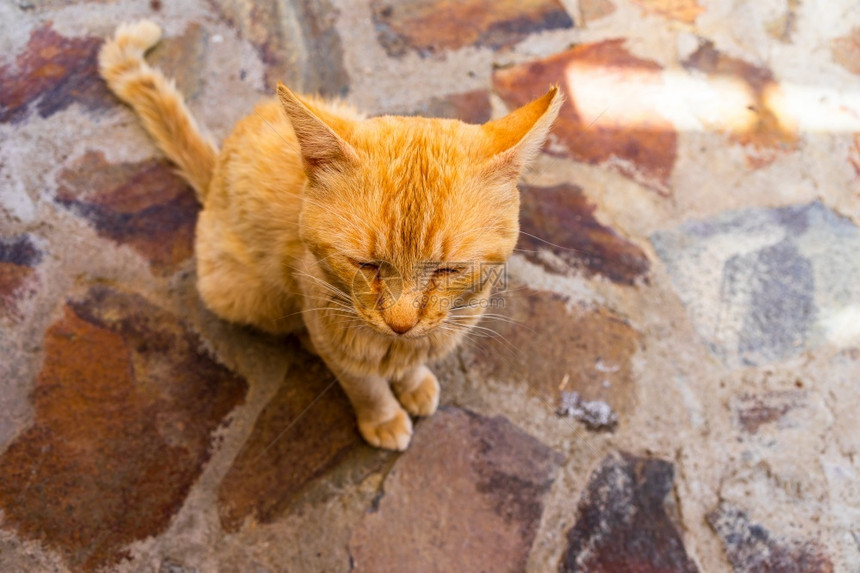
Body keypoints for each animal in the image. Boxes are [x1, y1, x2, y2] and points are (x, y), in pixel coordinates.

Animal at [99, 21, 564, 452]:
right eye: (366, 265)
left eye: (448, 270)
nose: (400, 324)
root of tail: (214, 178)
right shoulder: (336, 340)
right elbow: (365, 385)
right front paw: (383, 417)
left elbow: (411, 362)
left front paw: (413, 382)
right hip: (242, 291)